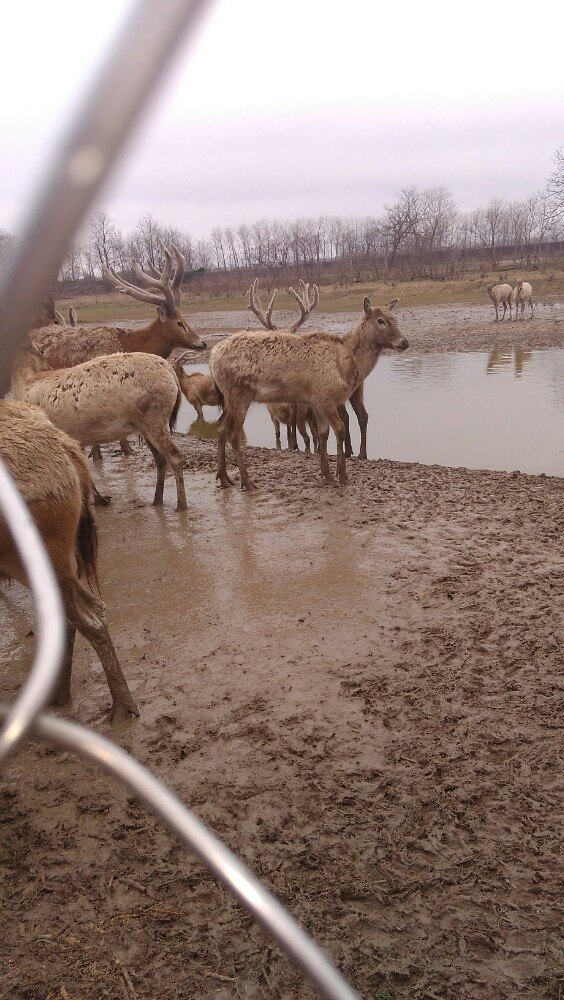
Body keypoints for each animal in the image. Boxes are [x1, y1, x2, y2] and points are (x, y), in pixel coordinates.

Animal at [11, 348, 189, 512]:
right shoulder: (78, 439)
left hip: (154, 418)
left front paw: (99, 499)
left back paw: (181, 505)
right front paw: (100, 499)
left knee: (175, 457)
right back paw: (157, 500)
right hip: (144, 425)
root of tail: (170, 371)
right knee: (160, 459)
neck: (25, 385)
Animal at [209, 286, 408, 492]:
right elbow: (340, 429)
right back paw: (247, 482)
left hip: (228, 398)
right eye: (380, 320)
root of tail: (212, 357)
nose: (404, 342)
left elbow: (323, 434)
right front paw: (343, 477)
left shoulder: (318, 402)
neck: (344, 364)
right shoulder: (326, 397)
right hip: (239, 394)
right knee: (233, 434)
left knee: (221, 427)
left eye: (395, 319)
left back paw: (224, 478)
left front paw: (327, 475)